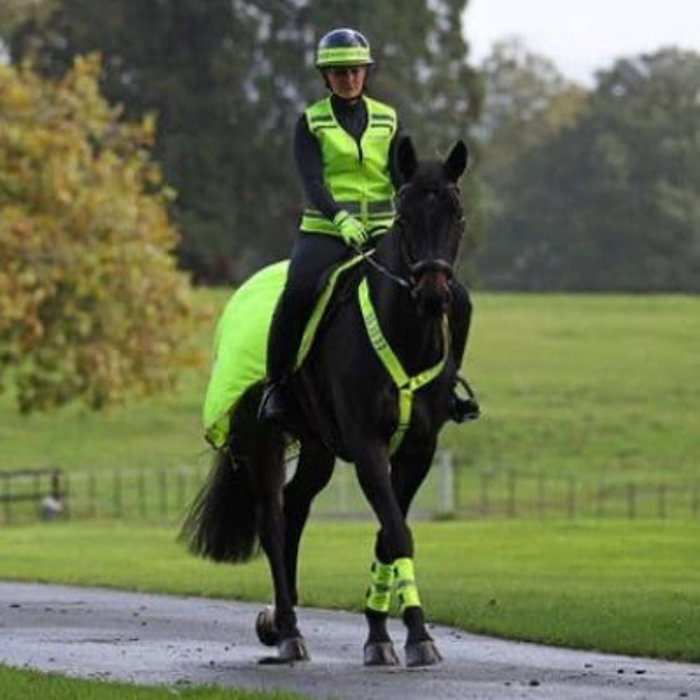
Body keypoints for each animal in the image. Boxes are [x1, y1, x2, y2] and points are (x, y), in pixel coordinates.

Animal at [181, 136, 472, 667]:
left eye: (457, 216)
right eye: (404, 219)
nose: (434, 293)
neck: (404, 334)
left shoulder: (418, 448)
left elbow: (388, 534)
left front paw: (381, 633)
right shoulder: (366, 444)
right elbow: (397, 531)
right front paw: (417, 637)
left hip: (317, 448)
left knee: (296, 506)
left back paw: (280, 620)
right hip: (261, 439)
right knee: (274, 521)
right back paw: (288, 631)